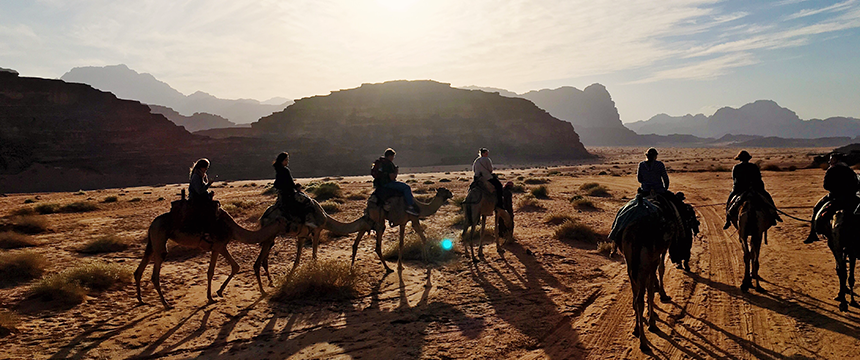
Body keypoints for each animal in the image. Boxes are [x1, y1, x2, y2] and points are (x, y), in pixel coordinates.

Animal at [134, 208, 288, 310]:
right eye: (284, 221)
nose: (289, 227)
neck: (233, 229)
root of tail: (152, 223)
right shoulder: (219, 245)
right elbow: (213, 271)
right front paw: (211, 297)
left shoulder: (219, 246)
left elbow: (233, 267)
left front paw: (218, 292)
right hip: (160, 237)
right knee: (155, 272)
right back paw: (166, 304)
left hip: (153, 240)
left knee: (140, 267)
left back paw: (141, 300)